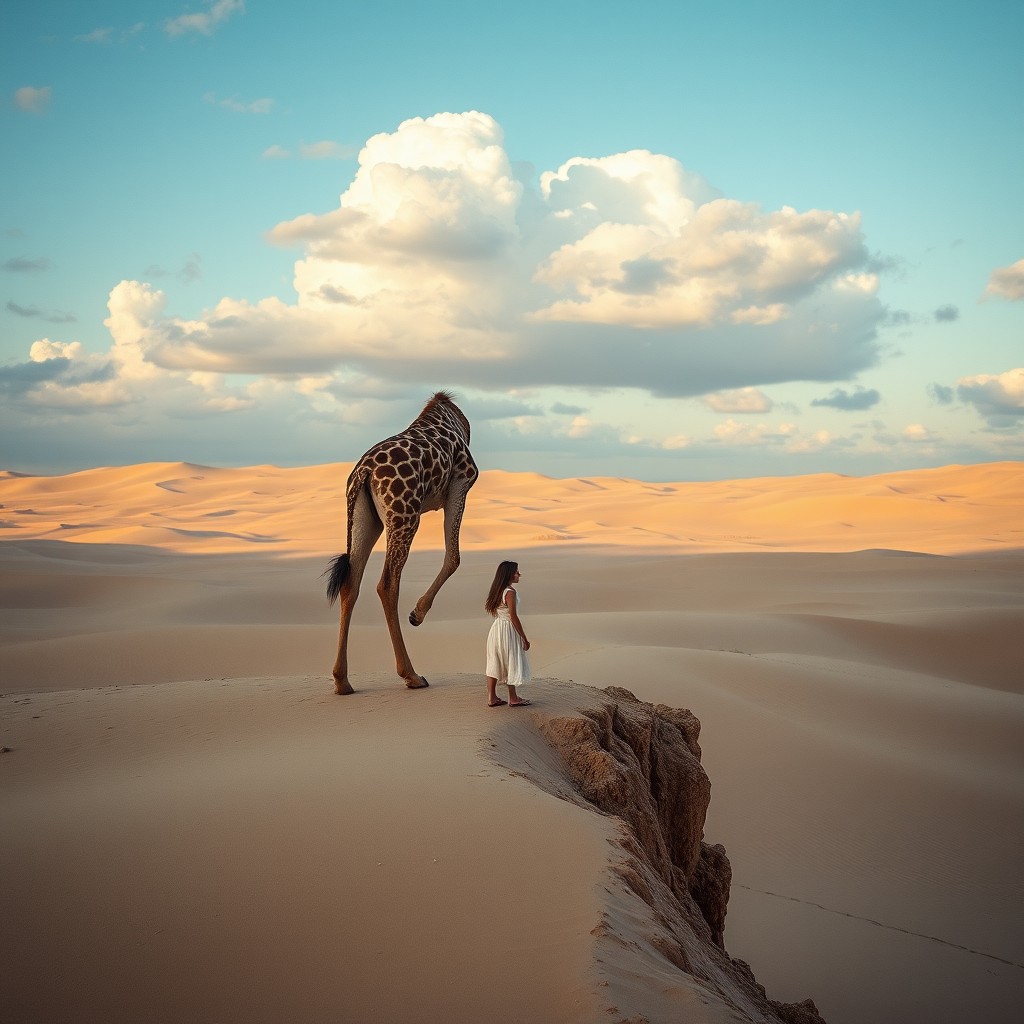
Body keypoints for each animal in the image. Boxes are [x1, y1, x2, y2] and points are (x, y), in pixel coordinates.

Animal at [321, 391, 477, 696]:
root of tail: (365, 471)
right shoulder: (461, 481)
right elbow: (454, 556)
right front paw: (417, 614)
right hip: (405, 515)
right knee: (386, 584)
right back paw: (412, 676)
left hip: (365, 519)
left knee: (350, 583)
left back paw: (342, 681)